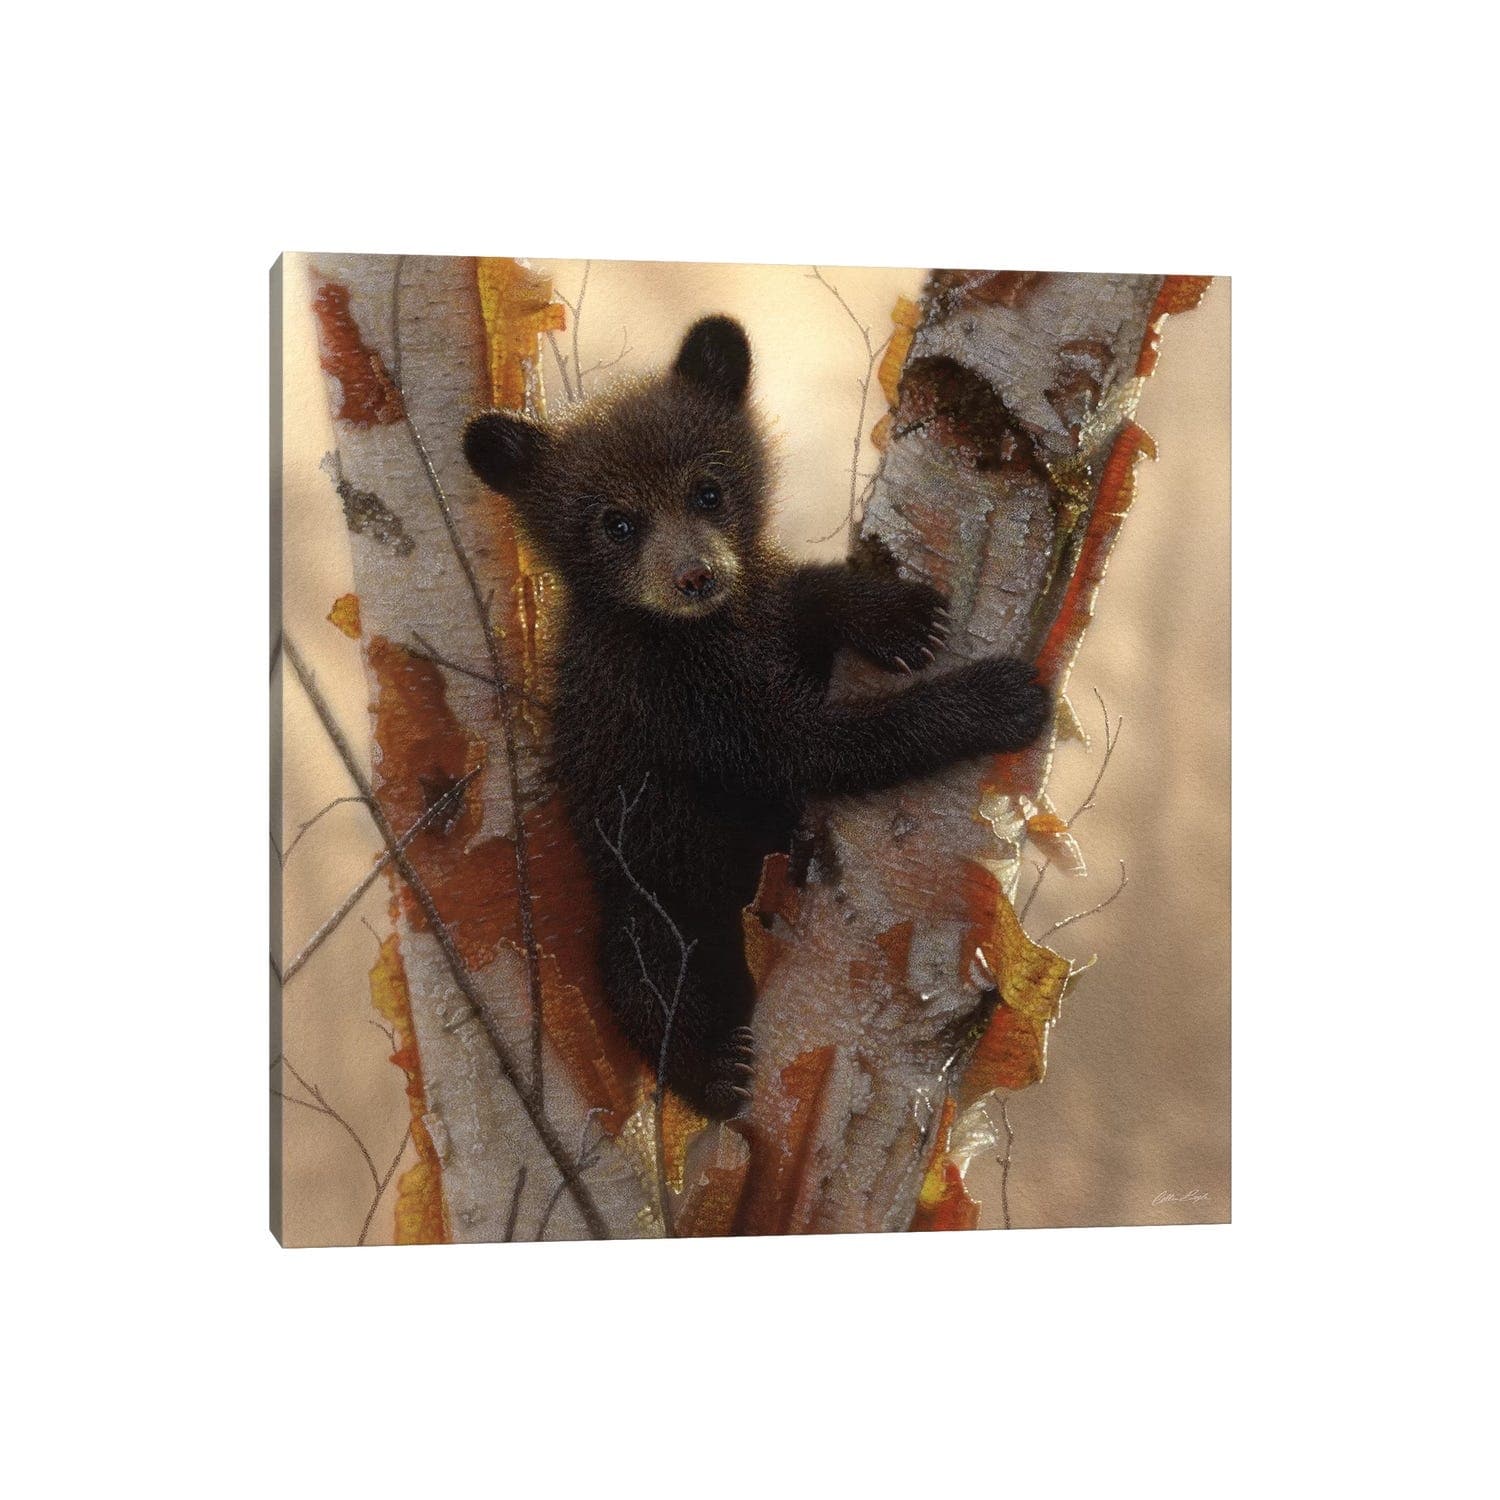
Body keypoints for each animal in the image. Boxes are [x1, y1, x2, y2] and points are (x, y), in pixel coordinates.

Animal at [463, 315, 1050, 1118]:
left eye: (707, 491)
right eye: (617, 524)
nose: (695, 576)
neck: (696, 631)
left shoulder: (756, 611)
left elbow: (802, 597)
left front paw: (894, 614)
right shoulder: (668, 694)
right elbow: (802, 744)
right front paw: (1002, 696)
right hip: (654, 892)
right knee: (647, 975)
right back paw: (715, 1070)